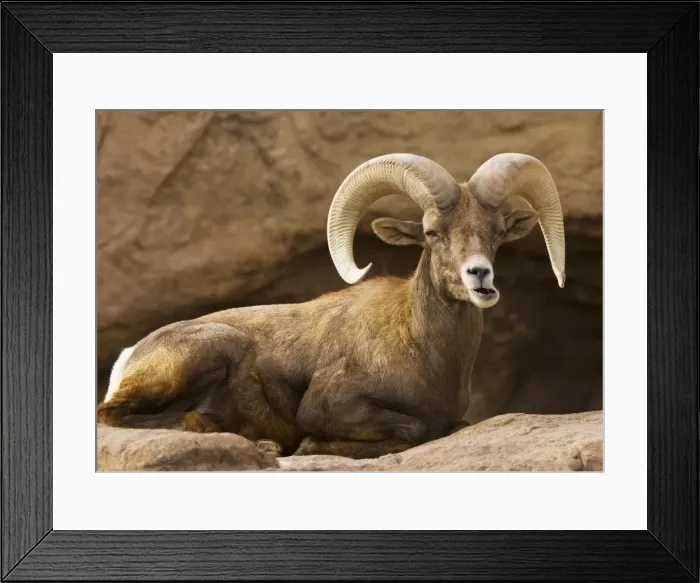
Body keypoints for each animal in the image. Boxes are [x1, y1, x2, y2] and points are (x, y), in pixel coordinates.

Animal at [98, 152, 566, 459]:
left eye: (499, 232)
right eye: (432, 232)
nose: (479, 276)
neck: (425, 351)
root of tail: (128, 356)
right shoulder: (334, 406)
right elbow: (412, 428)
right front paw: (309, 445)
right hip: (210, 350)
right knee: (113, 415)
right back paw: (263, 444)